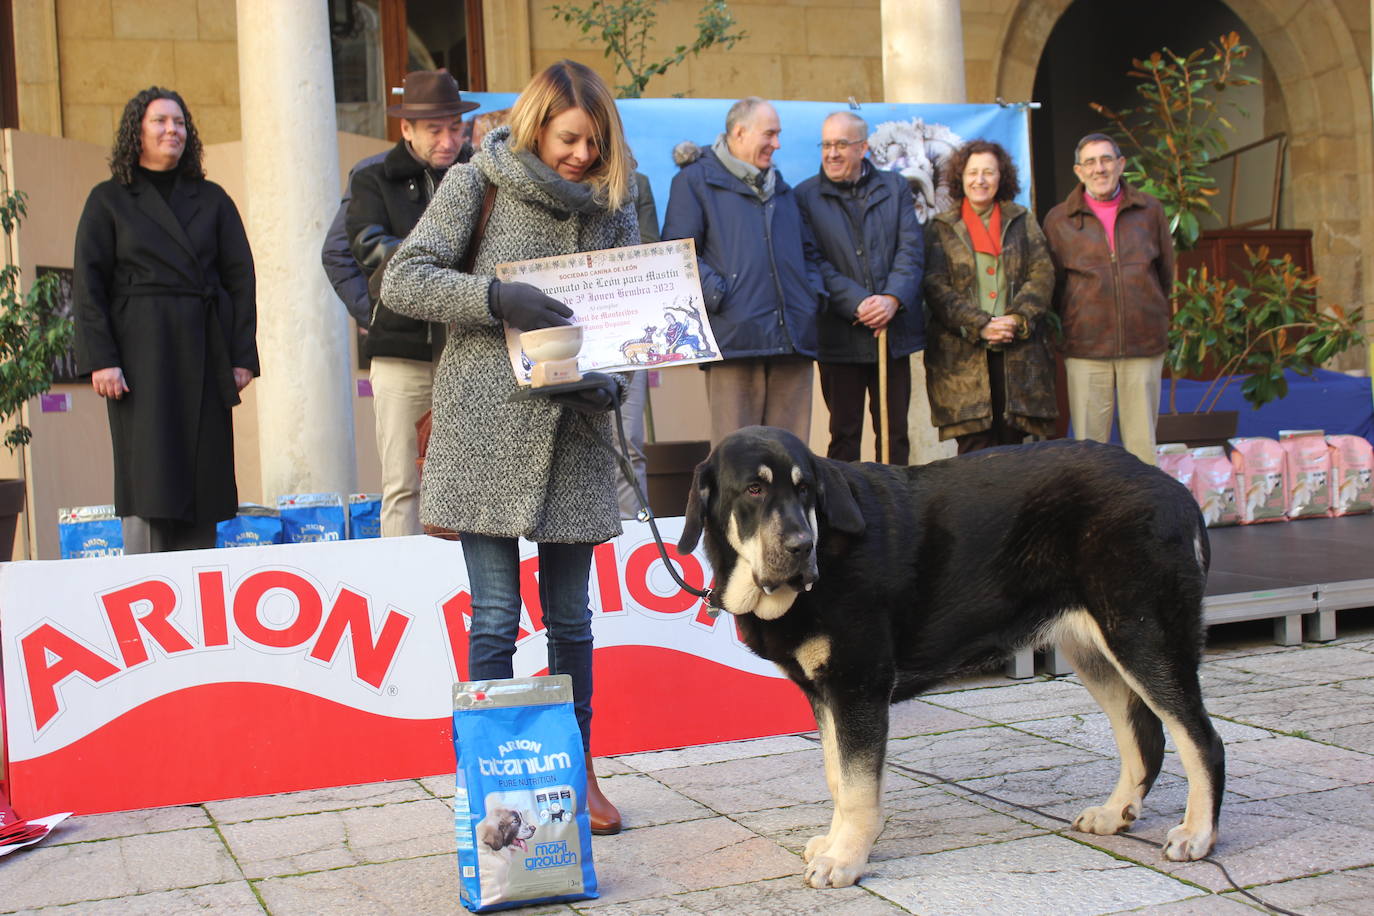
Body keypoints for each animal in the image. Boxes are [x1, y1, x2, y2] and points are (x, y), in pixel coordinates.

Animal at [681, 428, 1231, 889]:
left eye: (805, 491)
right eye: (754, 490)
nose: (802, 546)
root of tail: (1176, 490)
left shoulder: (858, 686)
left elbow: (857, 787)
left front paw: (846, 859)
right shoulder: (828, 695)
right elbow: (839, 778)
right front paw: (838, 844)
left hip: (1145, 637)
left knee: (1201, 740)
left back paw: (1198, 834)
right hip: (1096, 650)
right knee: (1145, 736)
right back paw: (1116, 813)